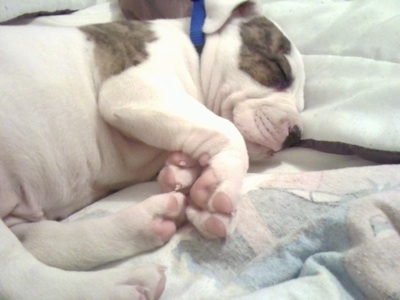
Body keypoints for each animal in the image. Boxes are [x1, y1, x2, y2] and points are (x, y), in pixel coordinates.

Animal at [0, 0, 304, 300]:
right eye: (279, 71)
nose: (295, 135)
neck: (193, 49)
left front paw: (183, 171)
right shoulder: (136, 90)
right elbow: (229, 131)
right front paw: (220, 190)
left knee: (39, 239)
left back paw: (148, 221)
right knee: (20, 274)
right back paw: (119, 287)